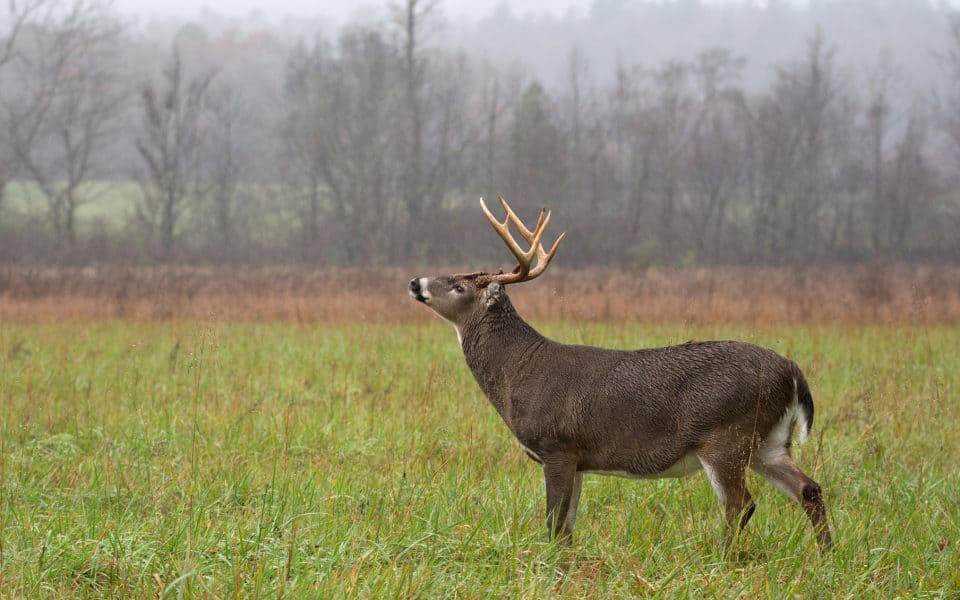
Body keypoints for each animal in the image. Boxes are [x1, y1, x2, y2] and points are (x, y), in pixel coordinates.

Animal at [404, 198, 832, 552]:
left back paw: (725, 558)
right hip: (769, 441)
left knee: (741, 505)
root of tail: (793, 372)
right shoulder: (577, 458)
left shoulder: (557, 445)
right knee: (809, 489)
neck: (518, 371)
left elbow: (554, 524)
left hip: (726, 435)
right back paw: (824, 555)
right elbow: (567, 527)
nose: (414, 281)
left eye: (459, 286)